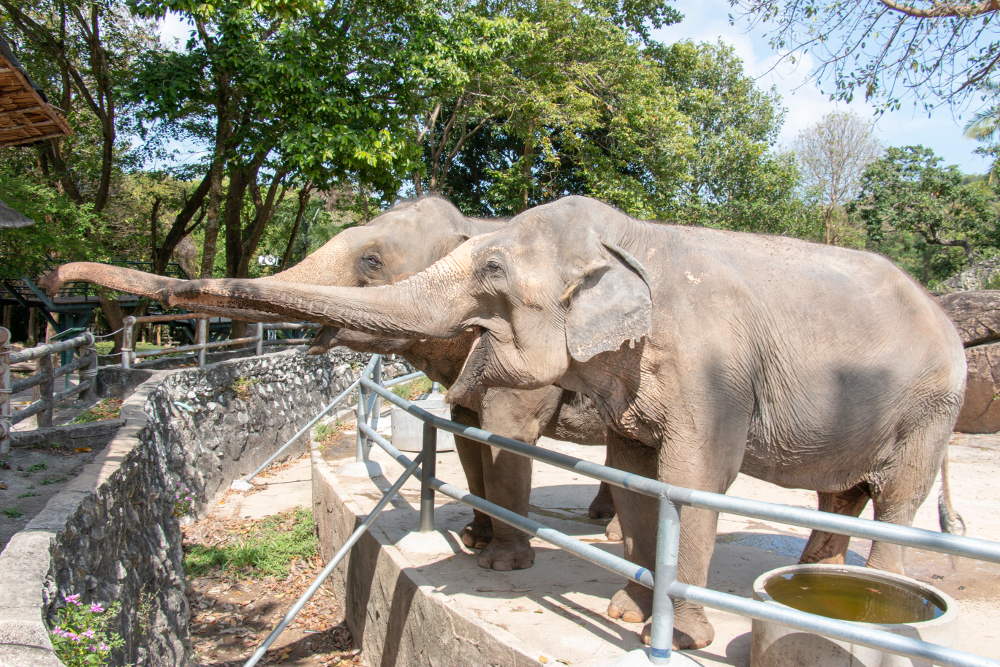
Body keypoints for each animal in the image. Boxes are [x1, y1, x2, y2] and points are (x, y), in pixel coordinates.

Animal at [41, 196, 616, 572]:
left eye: (371, 260)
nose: (53, 276)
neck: (483, 226)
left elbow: (508, 435)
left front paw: (501, 565)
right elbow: (467, 434)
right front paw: (475, 539)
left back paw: (607, 532)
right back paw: (603, 519)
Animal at [158, 194, 968, 652]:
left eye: (371, 261)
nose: (157, 296)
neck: (639, 242)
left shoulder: (713, 369)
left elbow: (688, 479)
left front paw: (668, 631)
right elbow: (621, 467)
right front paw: (613, 599)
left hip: (934, 405)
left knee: (898, 495)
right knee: (843, 491)